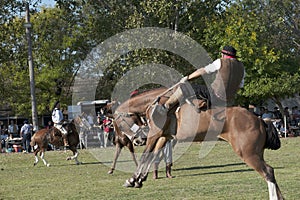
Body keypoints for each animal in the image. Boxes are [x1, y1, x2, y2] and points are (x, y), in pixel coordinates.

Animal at [123, 87, 282, 200]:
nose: (137, 140)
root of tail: (259, 120)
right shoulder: (164, 136)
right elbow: (153, 155)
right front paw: (139, 179)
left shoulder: (154, 134)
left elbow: (146, 155)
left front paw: (133, 179)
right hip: (256, 153)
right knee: (271, 173)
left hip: (248, 154)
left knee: (268, 172)